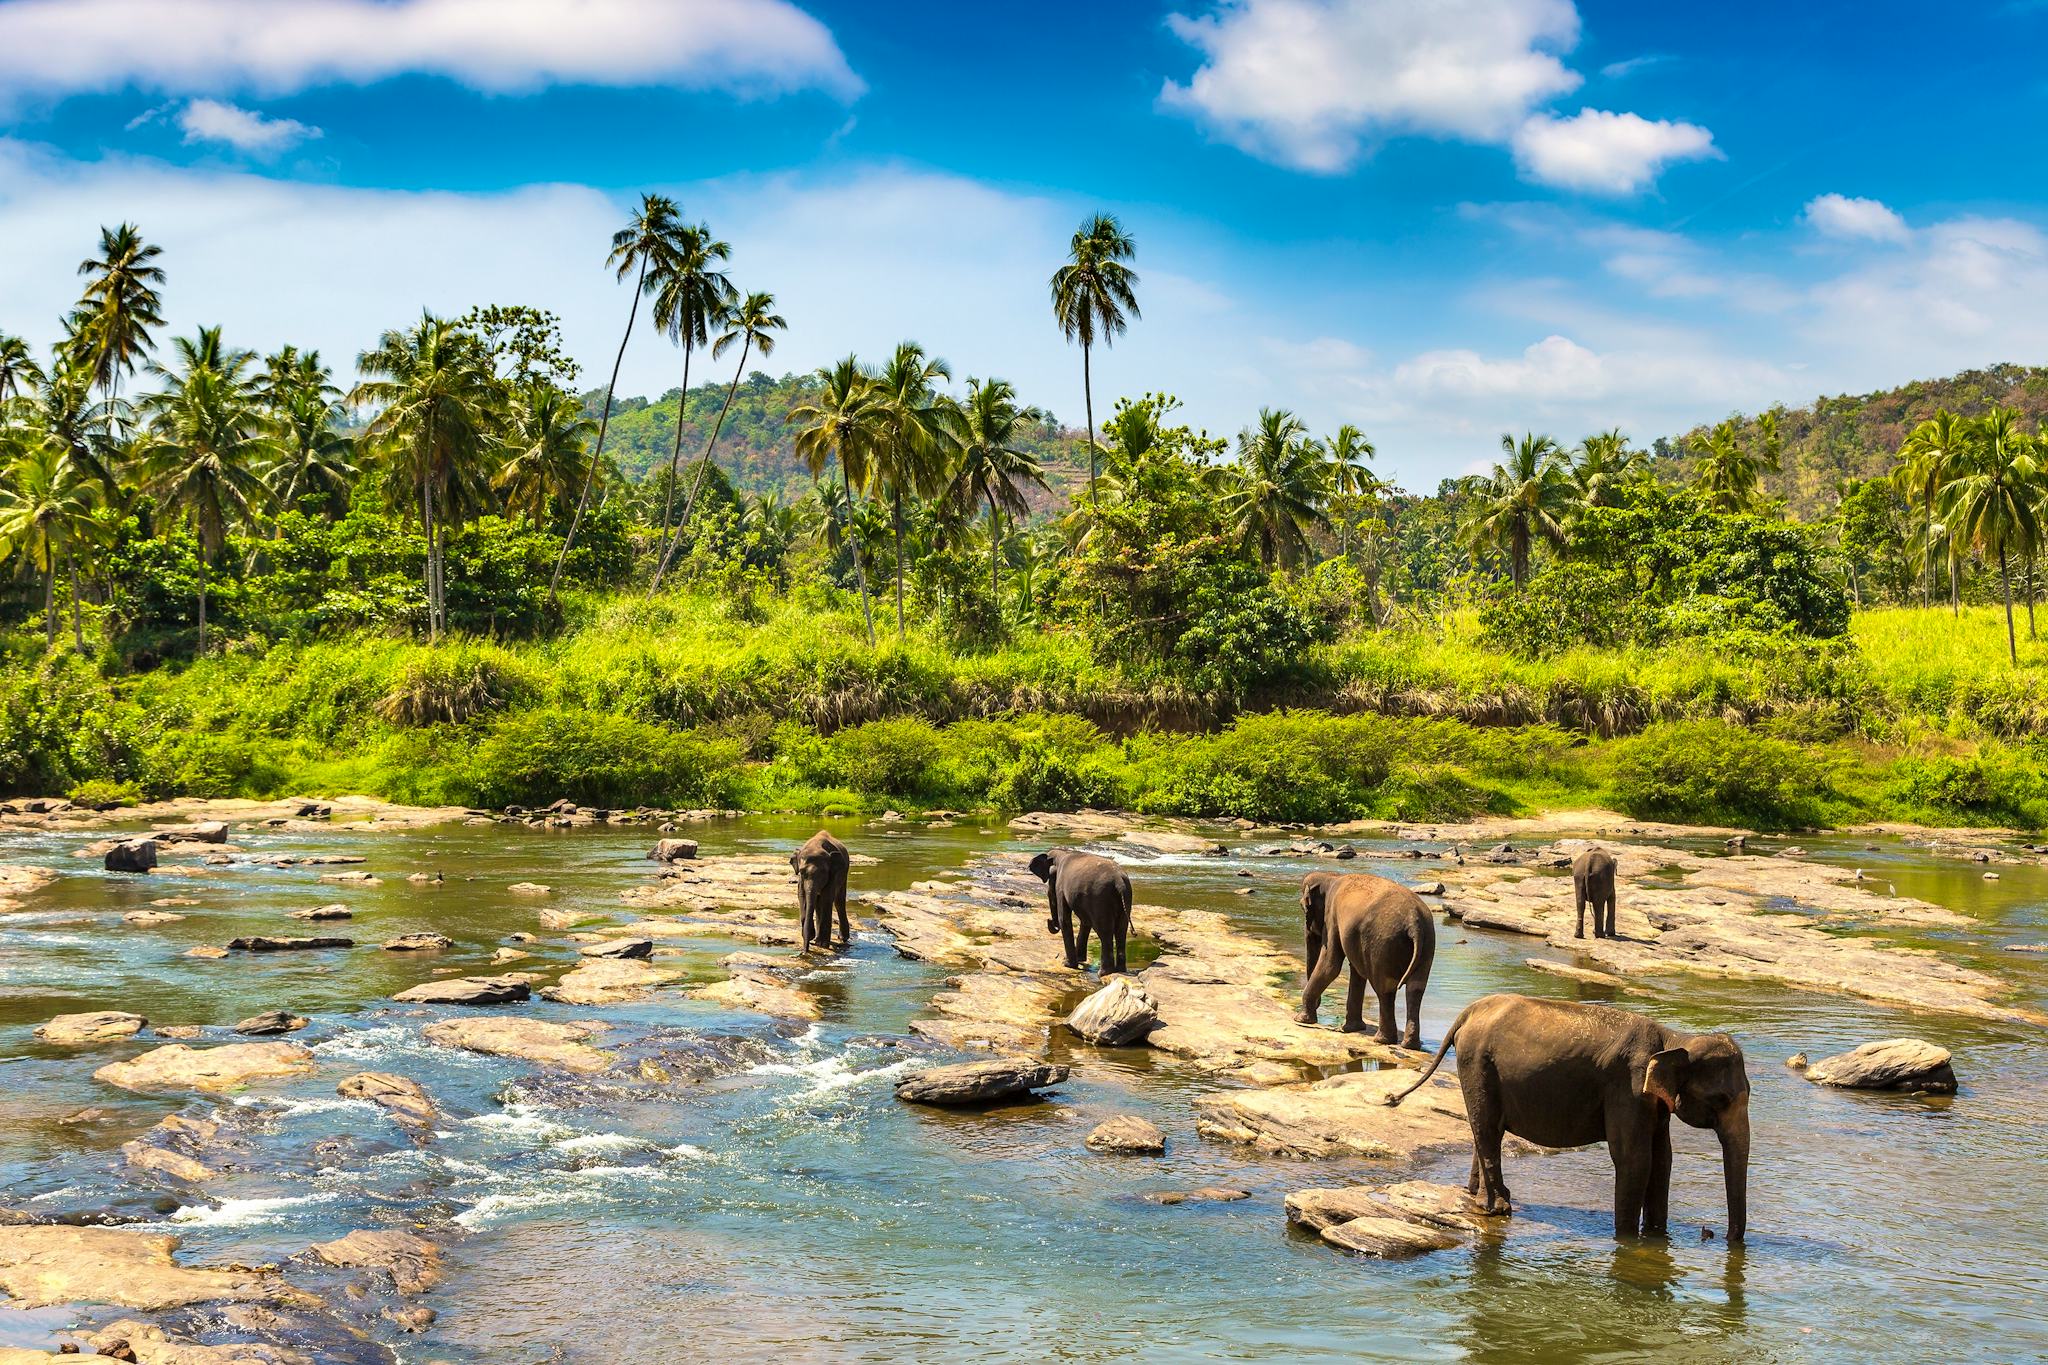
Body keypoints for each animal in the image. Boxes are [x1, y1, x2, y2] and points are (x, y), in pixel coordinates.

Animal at [782, 826, 847, 957]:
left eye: (823, 873)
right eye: (802, 872)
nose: (804, 952)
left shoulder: (834, 873)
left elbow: (827, 898)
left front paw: (822, 944)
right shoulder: (801, 880)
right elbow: (802, 896)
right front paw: (812, 937)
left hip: (845, 873)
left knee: (839, 902)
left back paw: (842, 938)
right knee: (818, 902)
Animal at [1294, 871, 1441, 1055]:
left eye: (1303, 907)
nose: (1317, 1005)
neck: (1331, 876)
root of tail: (1414, 921)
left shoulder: (1332, 918)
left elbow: (1330, 965)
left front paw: (1300, 1020)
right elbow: (1355, 970)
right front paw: (1351, 1029)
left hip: (1382, 944)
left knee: (1384, 990)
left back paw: (1382, 1040)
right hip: (1427, 943)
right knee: (1415, 989)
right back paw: (1410, 1045)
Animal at [1384, 986, 1753, 1244]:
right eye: (1720, 1099)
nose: (1713, 1234)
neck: (1674, 1038)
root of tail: (1468, 1012)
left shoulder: (1654, 1103)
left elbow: (1663, 1158)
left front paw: (1656, 1235)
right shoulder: (1627, 1089)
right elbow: (1634, 1158)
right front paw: (1629, 1240)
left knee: (1485, 1128)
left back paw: (1477, 1198)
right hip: (1476, 1062)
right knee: (1487, 1127)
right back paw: (1499, 1208)